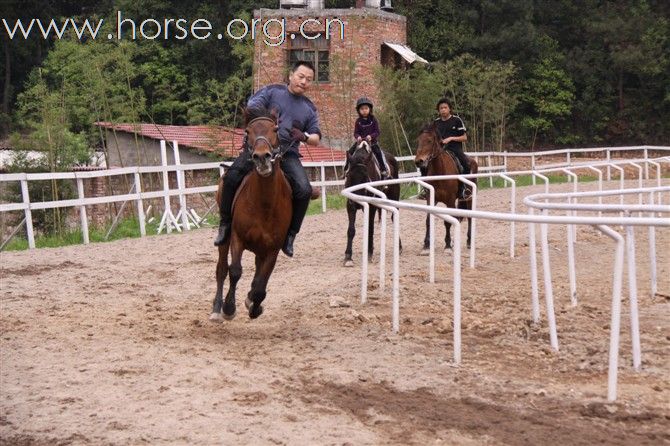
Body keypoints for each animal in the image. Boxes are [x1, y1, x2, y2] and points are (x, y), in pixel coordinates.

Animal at [210, 110, 292, 322]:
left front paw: (254, 306)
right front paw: (229, 308)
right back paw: (216, 309)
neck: (264, 204)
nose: (262, 157)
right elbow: (235, 271)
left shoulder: (273, 249)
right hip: (225, 239)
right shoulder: (237, 238)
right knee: (221, 269)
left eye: (276, 129)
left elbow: (260, 286)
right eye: (247, 131)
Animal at [414, 123, 478, 253]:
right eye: (419, 140)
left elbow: (448, 222)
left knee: (469, 217)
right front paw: (426, 245)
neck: (440, 172)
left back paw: (469, 241)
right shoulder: (431, 199)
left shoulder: (450, 200)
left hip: (469, 197)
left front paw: (448, 245)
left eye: (429, 141)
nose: (419, 161)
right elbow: (428, 220)